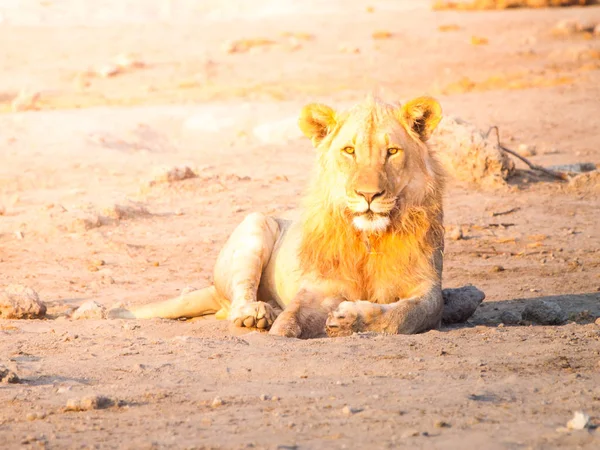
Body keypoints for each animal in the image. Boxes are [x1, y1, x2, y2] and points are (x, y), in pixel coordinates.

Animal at [110, 96, 480, 338]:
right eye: (349, 150)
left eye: (392, 151)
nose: (368, 195)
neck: (368, 238)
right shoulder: (319, 286)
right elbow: (290, 320)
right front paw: (282, 325)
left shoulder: (426, 285)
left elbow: (407, 314)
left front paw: (349, 319)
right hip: (255, 225)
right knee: (238, 300)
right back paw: (258, 314)